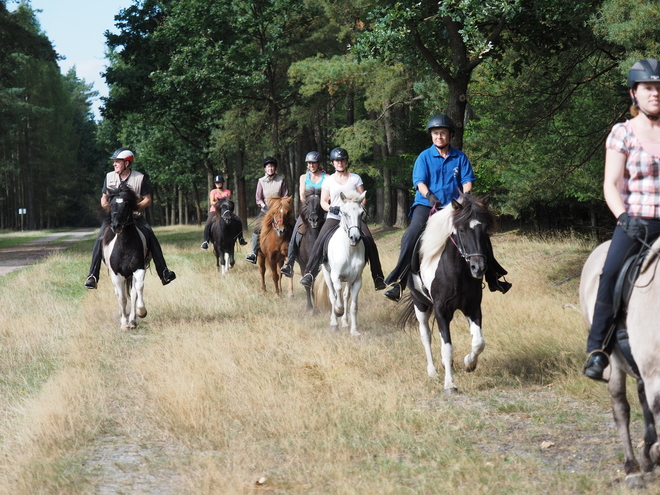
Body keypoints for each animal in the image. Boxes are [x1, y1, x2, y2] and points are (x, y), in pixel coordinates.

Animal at [101, 181, 149, 330]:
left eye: (126, 205)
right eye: (111, 205)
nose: (116, 226)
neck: (125, 245)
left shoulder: (138, 269)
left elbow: (138, 289)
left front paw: (141, 312)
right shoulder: (116, 274)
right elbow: (121, 297)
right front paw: (124, 323)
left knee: (132, 293)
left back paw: (132, 320)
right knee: (119, 294)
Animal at [322, 192, 368, 336]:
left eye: (361, 213)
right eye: (345, 213)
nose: (355, 237)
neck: (349, 249)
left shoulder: (357, 280)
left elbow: (353, 306)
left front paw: (354, 331)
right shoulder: (335, 276)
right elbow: (337, 294)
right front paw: (338, 311)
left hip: (349, 279)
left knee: (346, 296)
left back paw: (345, 323)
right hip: (327, 273)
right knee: (333, 295)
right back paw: (334, 323)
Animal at [400, 196, 498, 394]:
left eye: (484, 229)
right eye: (461, 230)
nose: (478, 267)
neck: (456, 272)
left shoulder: (472, 307)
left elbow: (478, 342)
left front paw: (469, 364)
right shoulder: (440, 310)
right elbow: (447, 347)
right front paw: (450, 384)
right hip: (420, 304)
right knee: (426, 335)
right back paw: (433, 371)